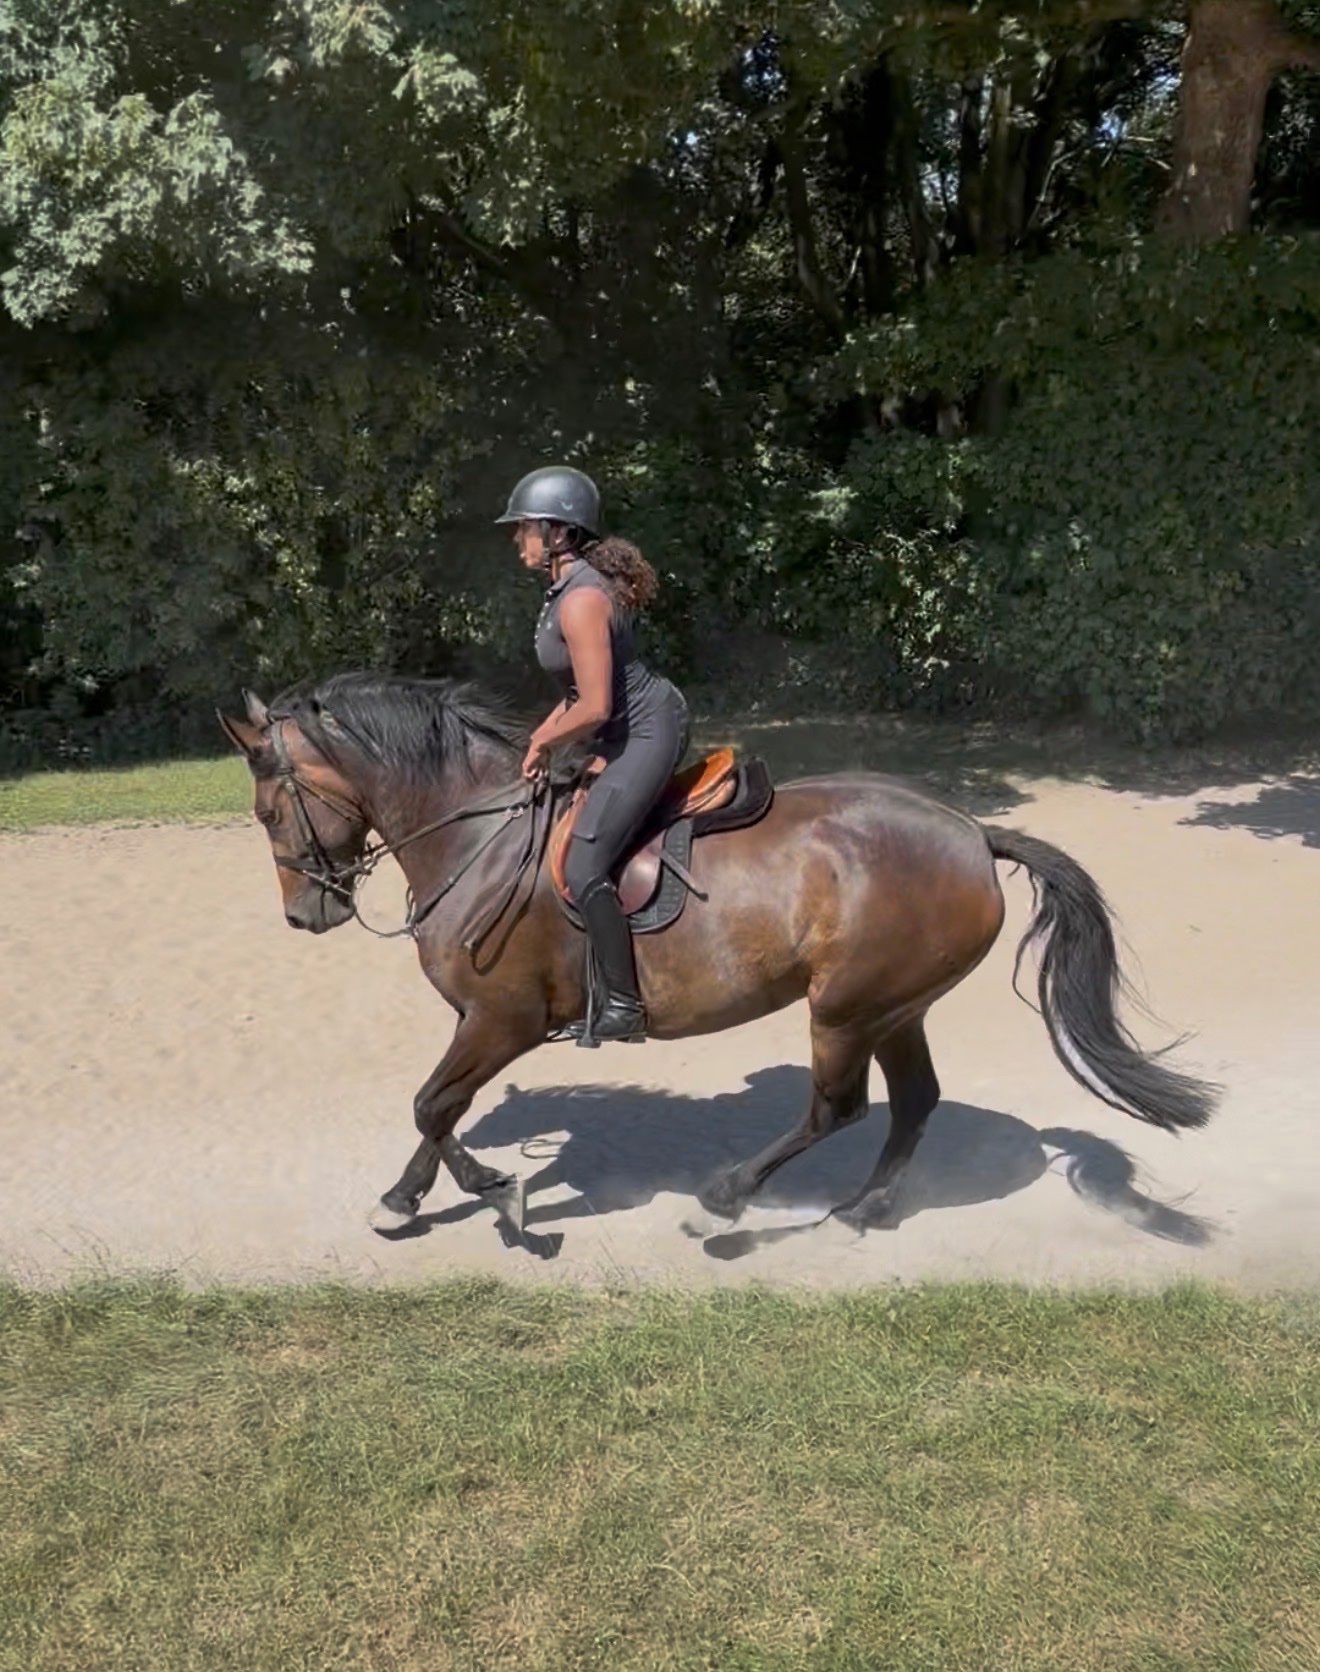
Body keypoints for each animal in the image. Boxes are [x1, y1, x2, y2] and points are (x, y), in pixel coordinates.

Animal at [218, 670, 1217, 1238]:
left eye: (267, 813)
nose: (306, 915)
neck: (478, 835)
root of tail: (974, 833)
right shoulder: (483, 1024)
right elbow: (440, 1111)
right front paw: (420, 1195)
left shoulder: (503, 1019)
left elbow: (433, 1104)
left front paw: (494, 1195)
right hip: (895, 1007)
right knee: (912, 1103)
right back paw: (866, 1209)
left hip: (846, 1007)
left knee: (838, 1108)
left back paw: (731, 1200)